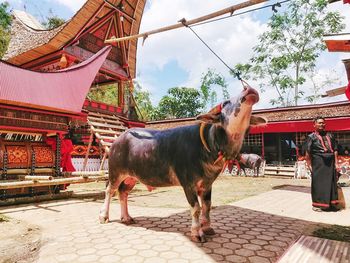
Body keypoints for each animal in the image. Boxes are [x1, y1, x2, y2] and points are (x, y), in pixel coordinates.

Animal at [100, 85, 266, 242]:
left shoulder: (207, 185)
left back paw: (126, 217)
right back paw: (104, 216)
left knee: (123, 192)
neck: (209, 146)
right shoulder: (188, 184)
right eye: (226, 102)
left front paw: (207, 228)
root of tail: (117, 141)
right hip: (115, 172)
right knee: (109, 190)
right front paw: (197, 233)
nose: (248, 89)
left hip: (131, 177)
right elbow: (196, 208)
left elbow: (207, 206)